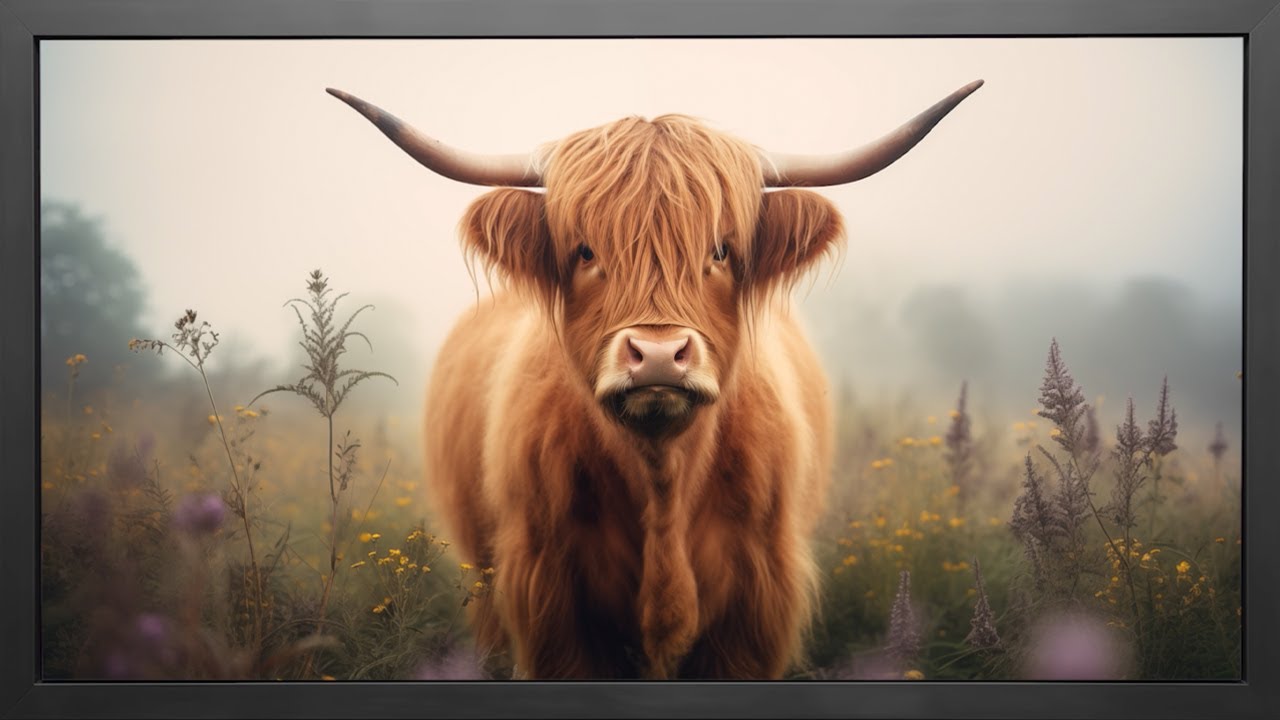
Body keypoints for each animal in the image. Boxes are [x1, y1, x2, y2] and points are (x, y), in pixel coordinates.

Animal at [328, 80, 982, 679]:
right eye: (584, 251)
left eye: (721, 250)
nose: (660, 356)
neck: (662, 477)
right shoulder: (546, 594)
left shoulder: (758, 602)